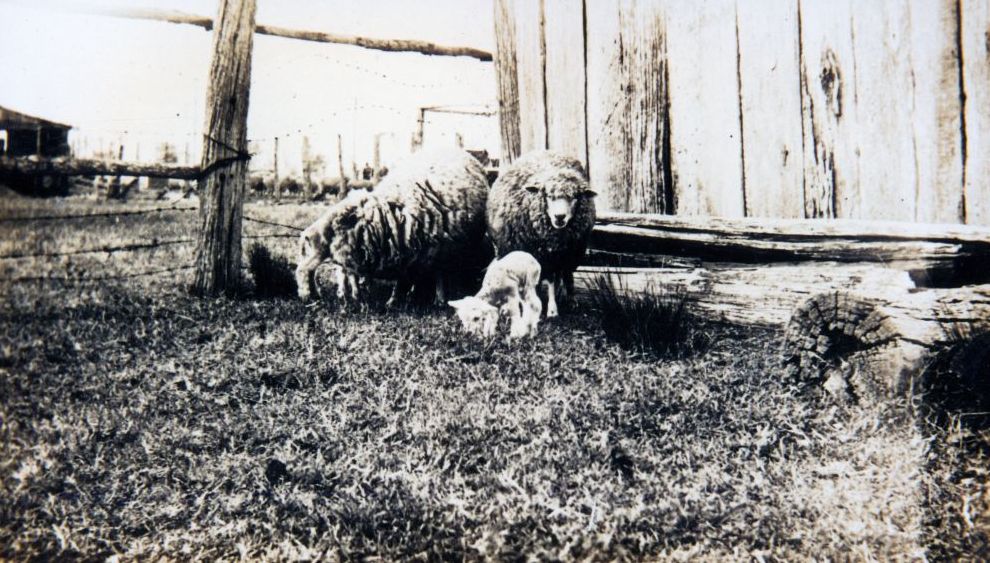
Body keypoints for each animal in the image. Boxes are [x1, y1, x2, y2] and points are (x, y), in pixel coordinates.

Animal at [295, 148, 490, 305]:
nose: (309, 236)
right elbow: (403, 278)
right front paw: (395, 300)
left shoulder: (437, 251)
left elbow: (434, 275)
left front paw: (438, 300)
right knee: (309, 270)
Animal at [486, 150, 596, 318]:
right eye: (549, 196)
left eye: (574, 197)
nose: (559, 217)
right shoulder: (539, 254)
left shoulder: (560, 255)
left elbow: (556, 278)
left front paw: (555, 308)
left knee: (566, 274)